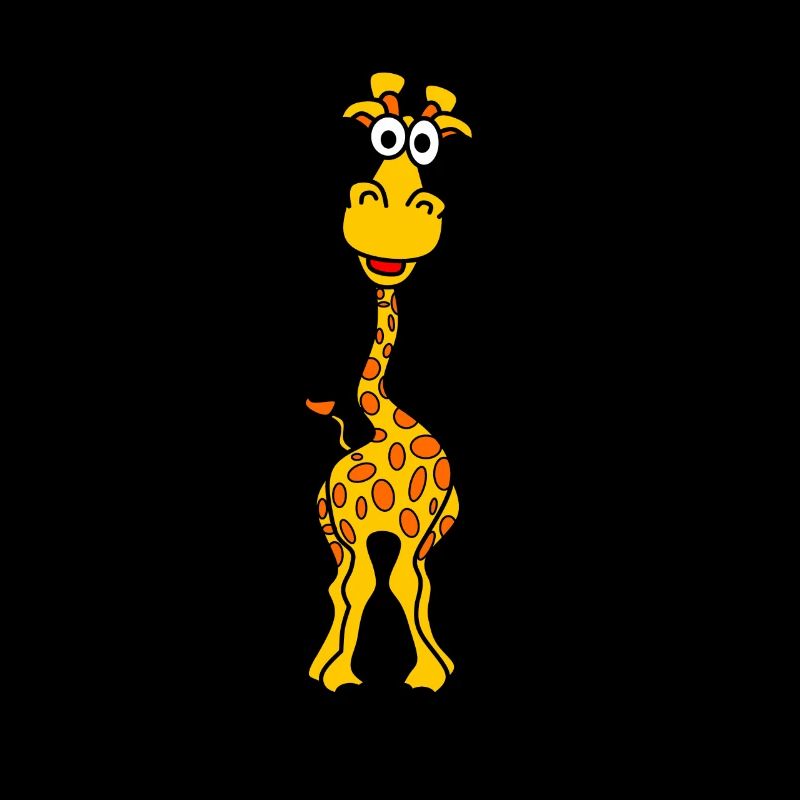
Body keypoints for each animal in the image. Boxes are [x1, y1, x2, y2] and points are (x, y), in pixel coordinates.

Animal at [307, 72, 471, 692]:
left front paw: (432, 671)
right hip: (340, 530)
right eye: (383, 137)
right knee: (347, 585)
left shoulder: (424, 526)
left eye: (426, 145)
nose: (393, 211)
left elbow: (413, 585)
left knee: (354, 584)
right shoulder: (375, 528)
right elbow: (380, 585)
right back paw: (329, 669)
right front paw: (350, 675)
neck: (388, 423)